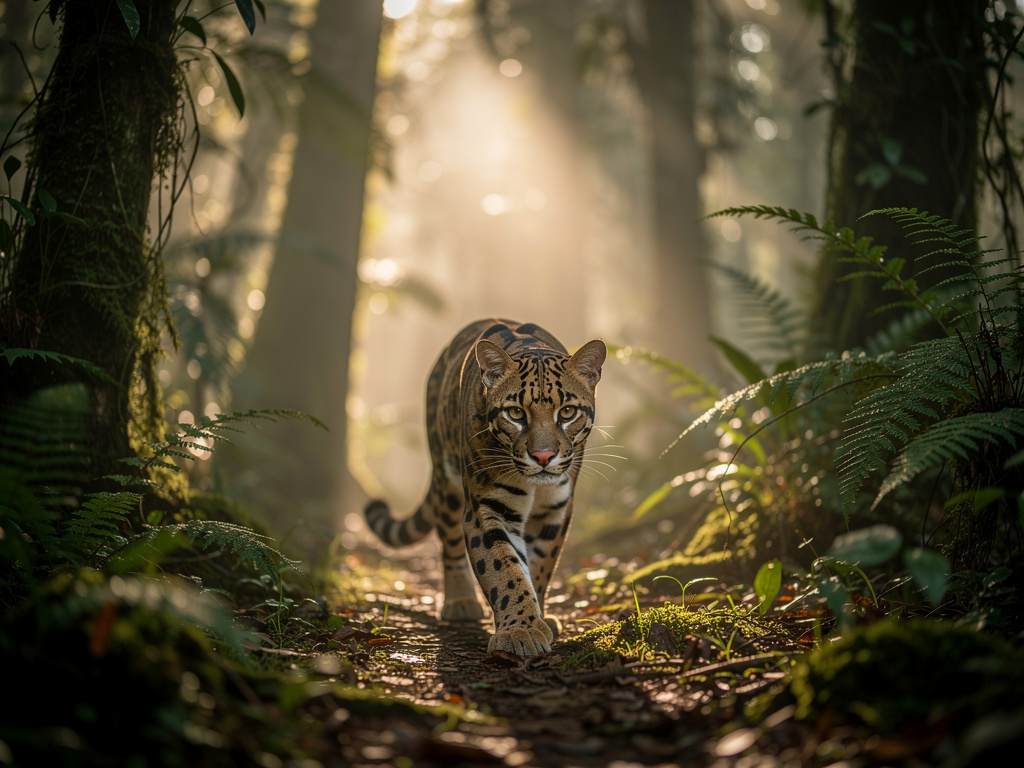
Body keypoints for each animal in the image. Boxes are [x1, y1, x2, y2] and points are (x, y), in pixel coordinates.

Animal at [365, 319, 606, 657]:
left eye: (568, 412)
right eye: (516, 413)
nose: (543, 457)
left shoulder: (555, 511)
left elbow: (540, 566)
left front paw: (538, 616)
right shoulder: (487, 507)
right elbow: (504, 570)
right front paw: (521, 630)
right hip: (446, 483)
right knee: (450, 543)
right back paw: (460, 602)